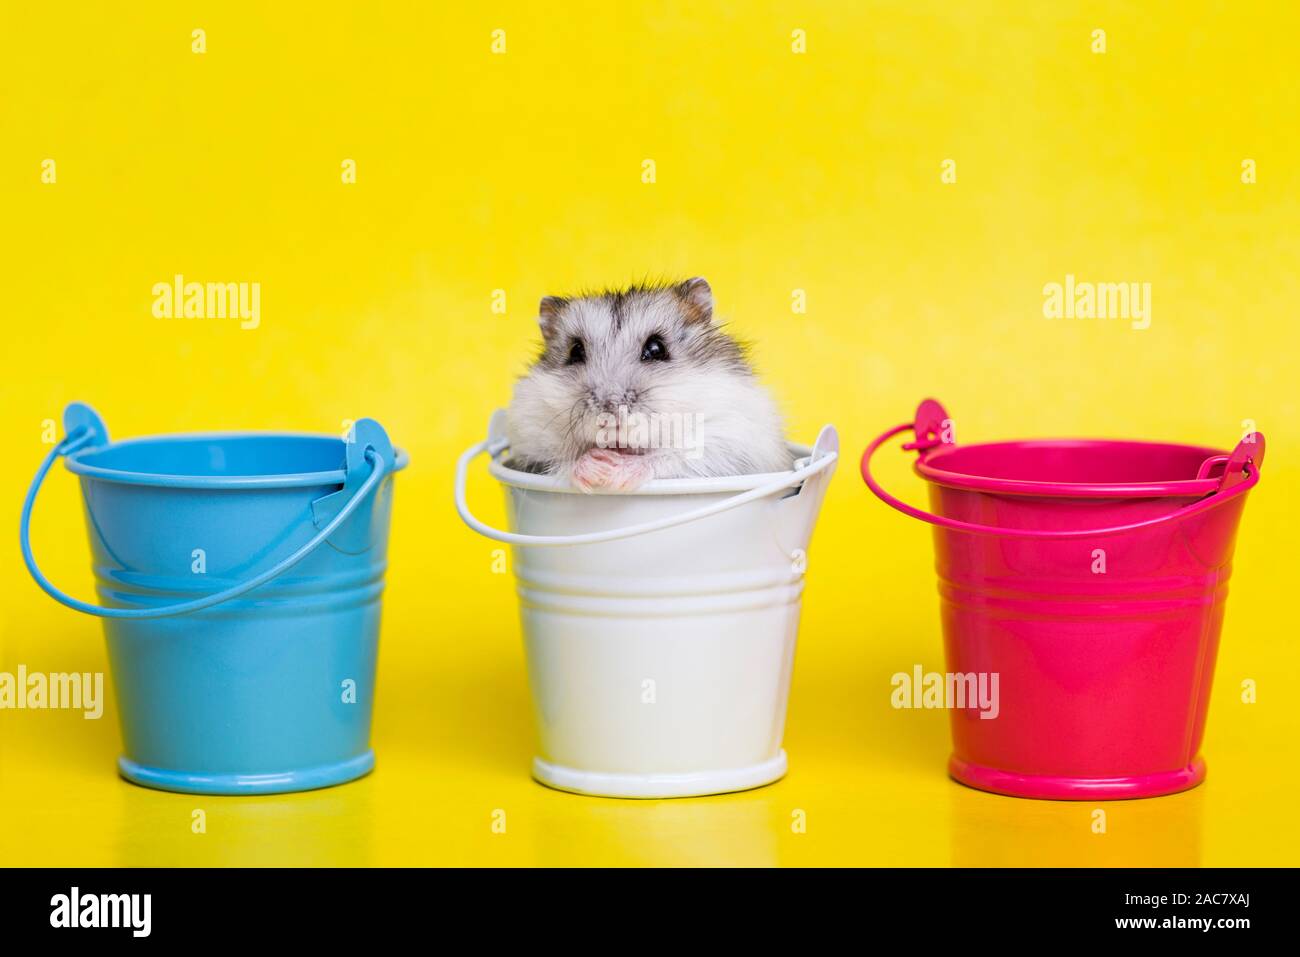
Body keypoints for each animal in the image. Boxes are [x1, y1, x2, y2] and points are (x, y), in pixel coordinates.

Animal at [504, 273, 790, 488]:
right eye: (575, 352)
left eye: (656, 349)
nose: (608, 413)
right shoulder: (531, 445)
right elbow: (562, 460)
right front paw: (597, 466)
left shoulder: (729, 439)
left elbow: (673, 456)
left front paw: (615, 471)